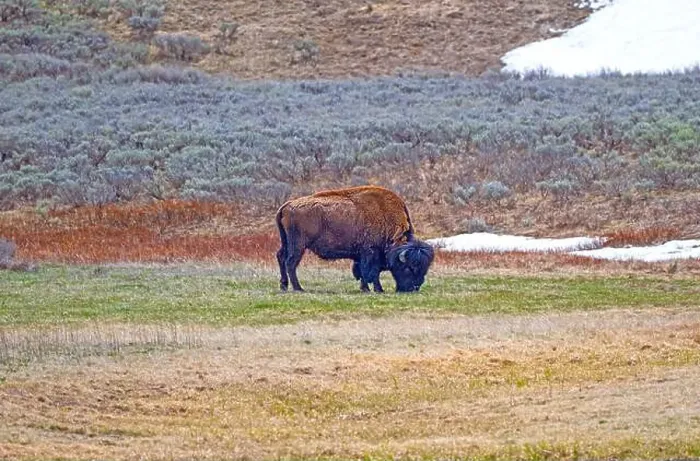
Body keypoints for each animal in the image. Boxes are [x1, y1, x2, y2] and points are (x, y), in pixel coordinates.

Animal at [275, 186, 434, 293]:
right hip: (298, 246)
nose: (415, 287)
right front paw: (377, 290)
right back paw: (298, 288)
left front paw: (365, 289)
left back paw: (284, 286)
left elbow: (363, 272)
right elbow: (371, 272)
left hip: (286, 242)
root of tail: (287, 205)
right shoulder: (370, 253)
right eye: (408, 267)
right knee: (291, 263)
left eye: (425, 268)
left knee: (281, 257)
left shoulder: (361, 255)